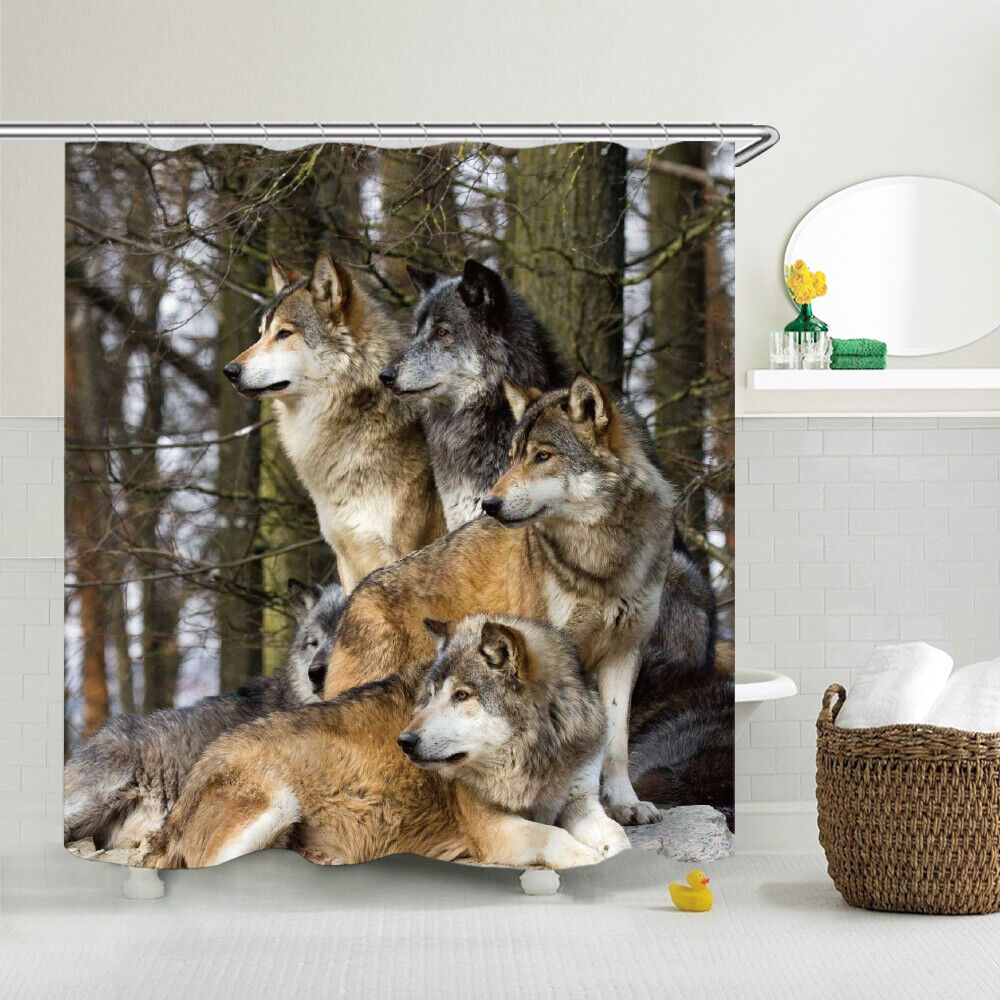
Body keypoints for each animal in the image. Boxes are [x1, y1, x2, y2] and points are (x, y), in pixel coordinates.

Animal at [142, 615, 627, 870]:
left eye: (461, 696)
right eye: (430, 695)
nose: (406, 741)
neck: (536, 757)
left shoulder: (581, 801)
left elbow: (617, 836)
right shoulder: (492, 829)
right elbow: (555, 838)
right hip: (278, 801)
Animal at [324, 374, 673, 826]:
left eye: (543, 456)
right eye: (511, 457)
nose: (489, 503)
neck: (600, 561)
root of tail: (353, 598)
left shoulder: (624, 652)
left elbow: (616, 743)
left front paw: (625, 804)